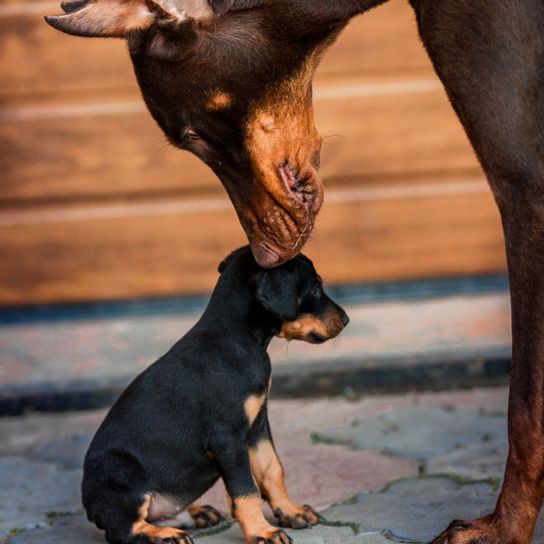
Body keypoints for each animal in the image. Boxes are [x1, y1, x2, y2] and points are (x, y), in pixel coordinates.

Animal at [83, 246, 350, 544]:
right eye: (314, 287)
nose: (346, 319)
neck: (239, 341)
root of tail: (89, 505)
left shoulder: (257, 427)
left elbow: (272, 470)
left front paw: (291, 512)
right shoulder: (228, 440)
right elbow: (246, 490)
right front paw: (262, 532)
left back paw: (196, 513)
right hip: (120, 473)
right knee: (123, 530)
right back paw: (167, 535)